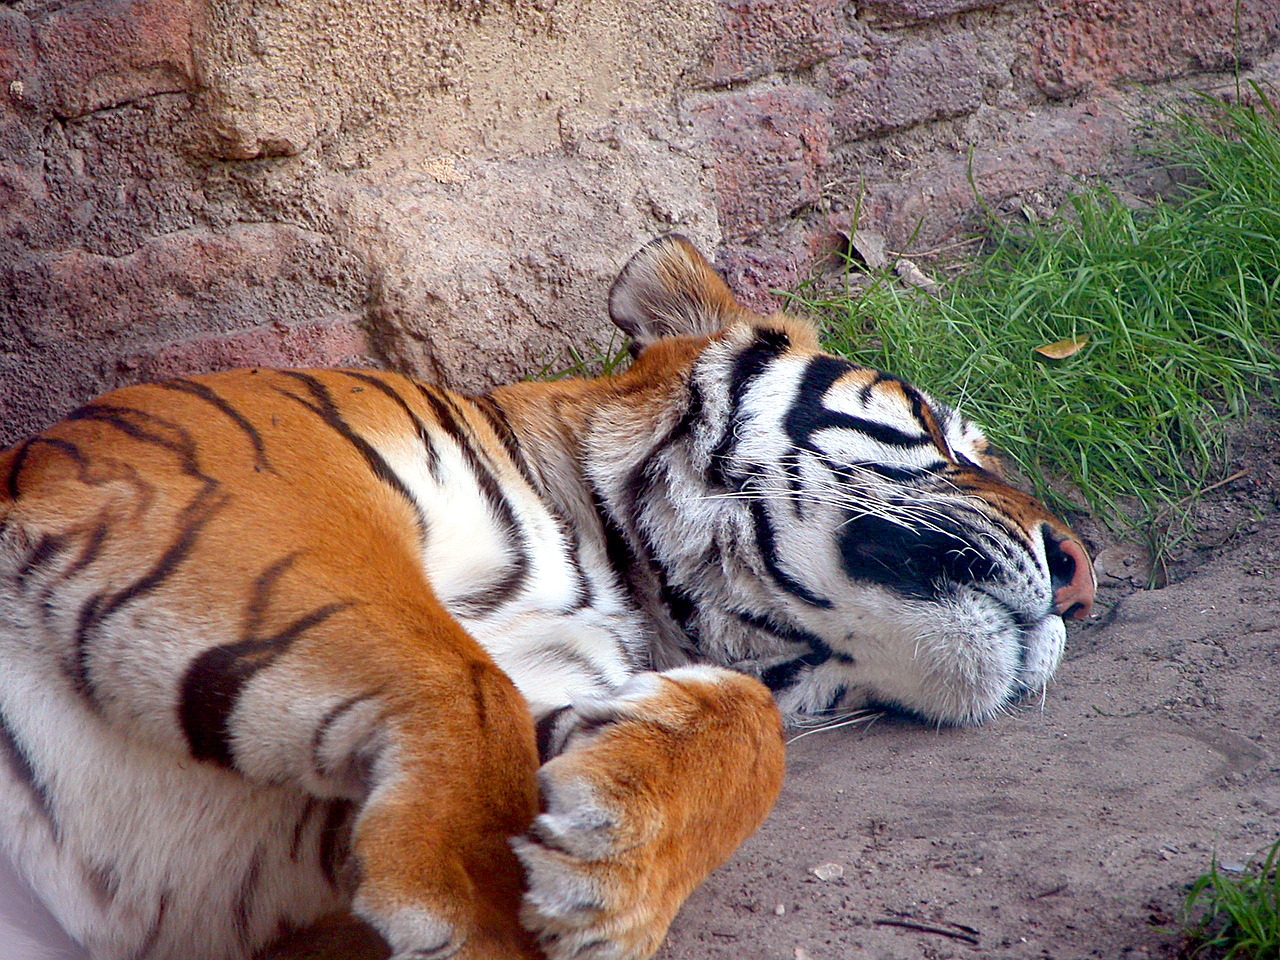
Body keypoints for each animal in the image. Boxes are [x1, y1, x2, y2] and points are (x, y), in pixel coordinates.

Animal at [2, 235, 1090, 960]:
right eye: (945, 437)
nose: (1083, 577)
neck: (628, 589)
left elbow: (749, 729)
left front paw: (611, 866)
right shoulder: (258, 480)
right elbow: (458, 678)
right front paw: (472, 915)